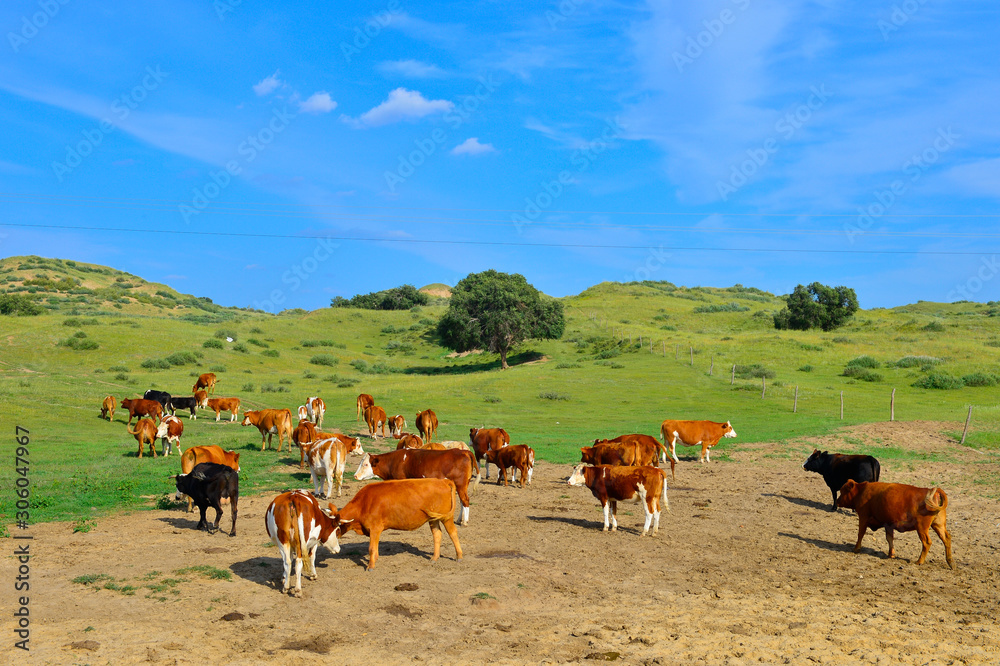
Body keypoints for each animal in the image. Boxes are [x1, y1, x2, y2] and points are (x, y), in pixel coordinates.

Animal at [332, 478, 463, 570]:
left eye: (335, 528)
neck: (364, 503)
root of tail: (443, 481)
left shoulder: (375, 528)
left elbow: (371, 548)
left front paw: (370, 566)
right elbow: (375, 547)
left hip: (446, 518)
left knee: (453, 533)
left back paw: (459, 556)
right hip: (433, 518)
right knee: (437, 534)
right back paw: (434, 558)